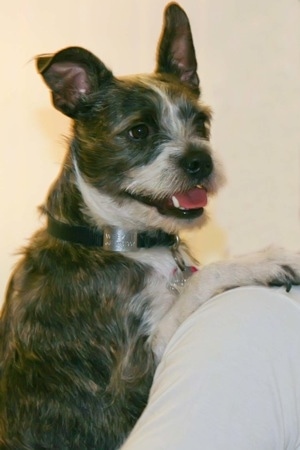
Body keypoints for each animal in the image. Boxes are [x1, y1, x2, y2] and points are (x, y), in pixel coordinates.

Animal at [0, 3, 300, 450]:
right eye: (139, 131)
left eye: (202, 125)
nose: (200, 160)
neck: (116, 238)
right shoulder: (133, 377)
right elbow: (203, 278)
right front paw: (265, 260)